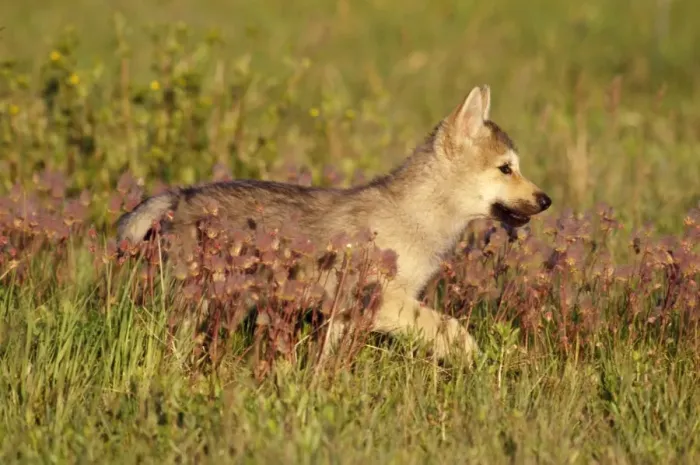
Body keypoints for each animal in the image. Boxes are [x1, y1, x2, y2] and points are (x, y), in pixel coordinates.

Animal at [116, 85, 551, 362]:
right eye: (506, 169)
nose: (546, 200)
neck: (416, 214)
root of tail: (181, 195)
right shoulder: (383, 302)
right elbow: (453, 328)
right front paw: (475, 361)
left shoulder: (344, 314)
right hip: (195, 302)